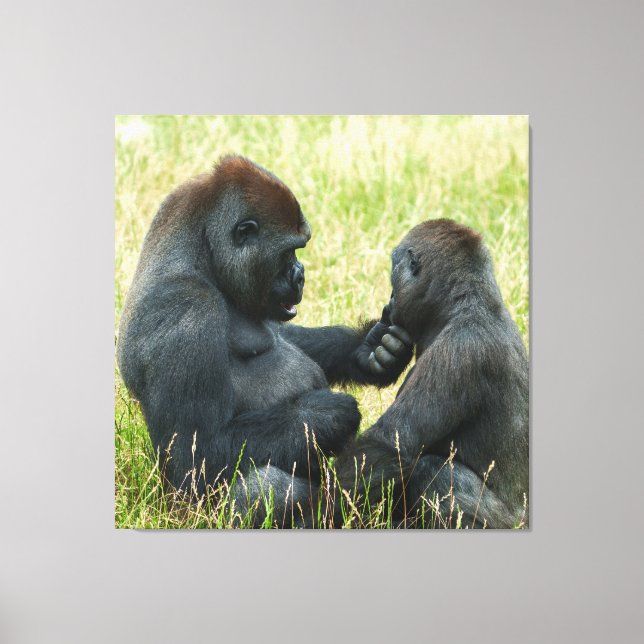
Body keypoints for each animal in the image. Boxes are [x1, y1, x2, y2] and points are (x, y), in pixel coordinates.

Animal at [116, 155, 413, 524]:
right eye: (289, 252)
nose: (301, 276)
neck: (201, 254)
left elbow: (286, 335)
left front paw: (370, 349)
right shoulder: (185, 309)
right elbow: (194, 455)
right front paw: (326, 414)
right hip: (186, 516)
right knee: (263, 485)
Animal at [333, 219, 529, 528]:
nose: (390, 301)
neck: (466, 302)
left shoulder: (460, 349)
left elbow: (389, 445)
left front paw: (319, 511)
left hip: (509, 524)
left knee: (437, 473)